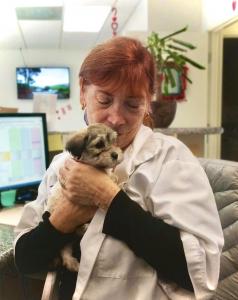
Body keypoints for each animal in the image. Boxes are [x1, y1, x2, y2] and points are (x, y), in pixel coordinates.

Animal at [46, 123, 122, 274]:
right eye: (99, 144)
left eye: (113, 142)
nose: (116, 154)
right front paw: (117, 182)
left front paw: (116, 179)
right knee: (65, 250)